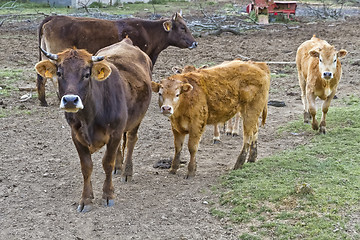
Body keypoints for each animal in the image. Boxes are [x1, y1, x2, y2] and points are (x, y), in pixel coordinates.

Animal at [34, 38, 152, 213]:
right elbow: (86, 167)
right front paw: (86, 199)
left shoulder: (115, 133)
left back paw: (126, 172)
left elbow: (107, 163)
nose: (70, 100)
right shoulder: (76, 136)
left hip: (138, 117)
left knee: (131, 139)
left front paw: (108, 195)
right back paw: (119, 166)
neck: (89, 117)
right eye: (60, 73)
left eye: (86, 74)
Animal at [36, 12, 197, 106]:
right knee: (53, 77)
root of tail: (53, 18)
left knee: (42, 77)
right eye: (182, 28)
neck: (147, 31)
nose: (195, 43)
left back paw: (43, 100)